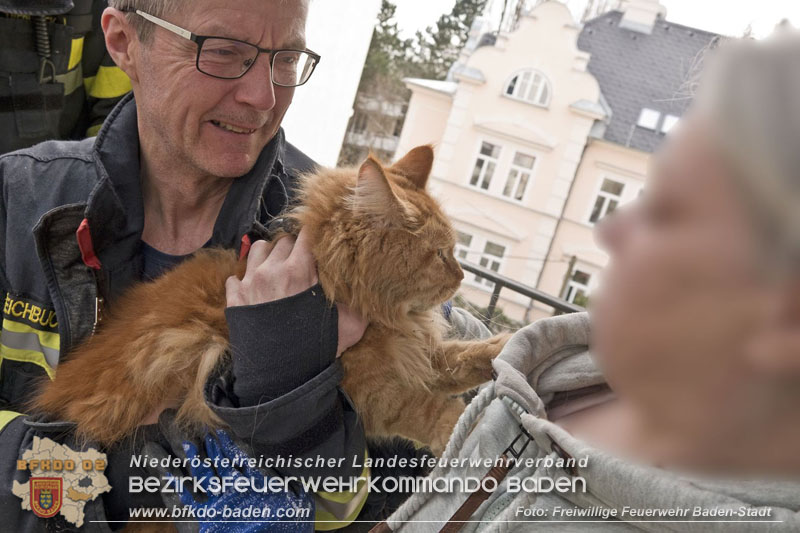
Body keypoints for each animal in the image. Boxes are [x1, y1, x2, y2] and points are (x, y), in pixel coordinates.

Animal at [32, 145, 506, 454]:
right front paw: (463, 432)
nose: (462, 275)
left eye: (455, 251)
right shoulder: (374, 393)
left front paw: (505, 352)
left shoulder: (419, 357)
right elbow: (430, 410)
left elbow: (464, 358)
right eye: (441, 254)